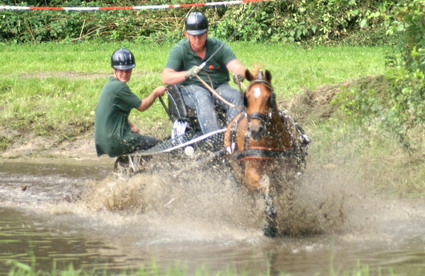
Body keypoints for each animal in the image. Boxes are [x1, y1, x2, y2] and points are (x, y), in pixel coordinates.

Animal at [222, 67, 308, 237]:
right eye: (246, 98)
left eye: (269, 98)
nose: (256, 130)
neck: (272, 141)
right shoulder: (251, 173)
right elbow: (265, 186)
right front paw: (270, 221)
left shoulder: (288, 174)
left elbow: (287, 195)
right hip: (240, 177)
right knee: (251, 197)